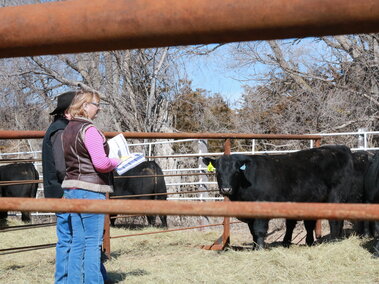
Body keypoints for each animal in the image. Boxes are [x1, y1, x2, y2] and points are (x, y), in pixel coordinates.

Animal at [205, 145, 356, 250]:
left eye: (236, 172)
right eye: (217, 172)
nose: (226, 189)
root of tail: (340, 148)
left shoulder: (262, 208)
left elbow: (259, 231)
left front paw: (260, 249)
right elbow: (252, 232)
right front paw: (254, 247)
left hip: (336, 197)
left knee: (335, 221)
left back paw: (333, 241)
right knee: (310, 223)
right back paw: (309, 242)